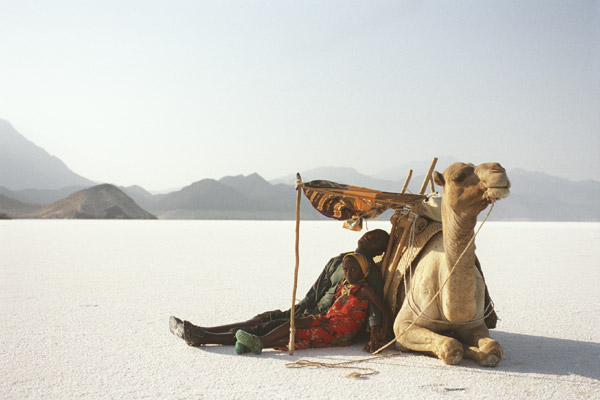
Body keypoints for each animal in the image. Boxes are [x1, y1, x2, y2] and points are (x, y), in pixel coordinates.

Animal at [394, 162, 510, 366]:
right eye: (458, 177)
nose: (498, 169)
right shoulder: (402, 324)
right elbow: (451, 346)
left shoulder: (475, 324)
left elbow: (493, 348)